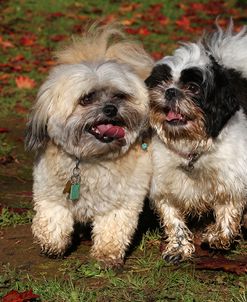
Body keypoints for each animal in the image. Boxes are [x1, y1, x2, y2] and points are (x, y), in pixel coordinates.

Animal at [25, 24, 152, 268]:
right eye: (86, 99)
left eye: (119, 96)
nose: (111, 108)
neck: (89, 160)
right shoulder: (49, 192)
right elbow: (53, 218)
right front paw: (52, 244)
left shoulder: (121, 202)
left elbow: (113, 228)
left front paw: (106, 255)